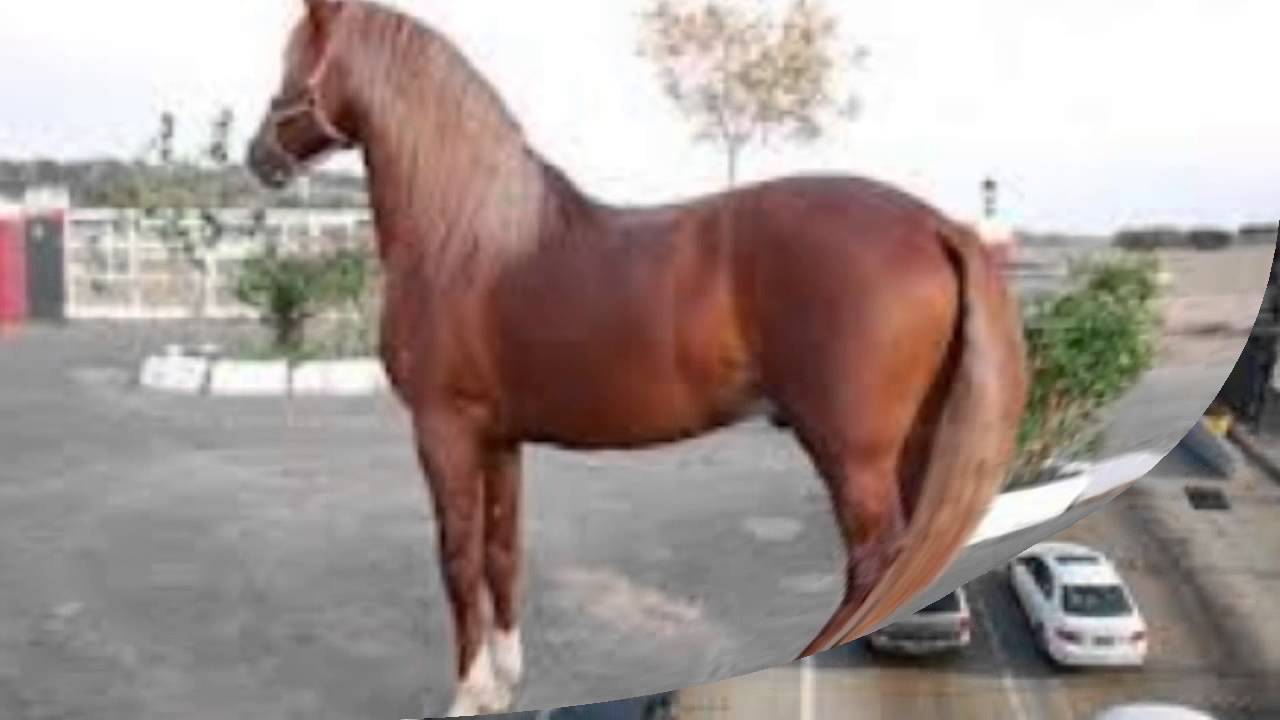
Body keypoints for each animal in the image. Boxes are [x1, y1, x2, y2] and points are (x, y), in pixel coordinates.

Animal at [247, 1, 1028, 715]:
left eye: (292, 61)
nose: (258, 156)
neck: (468, 239)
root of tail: (937, 226)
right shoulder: (498, 438)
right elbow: (502, 552)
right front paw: (506, 679)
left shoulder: (445, 430)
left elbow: (458, 558)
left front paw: (469, 693)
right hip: (912, 445)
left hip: (855, 458)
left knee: (874, 570)